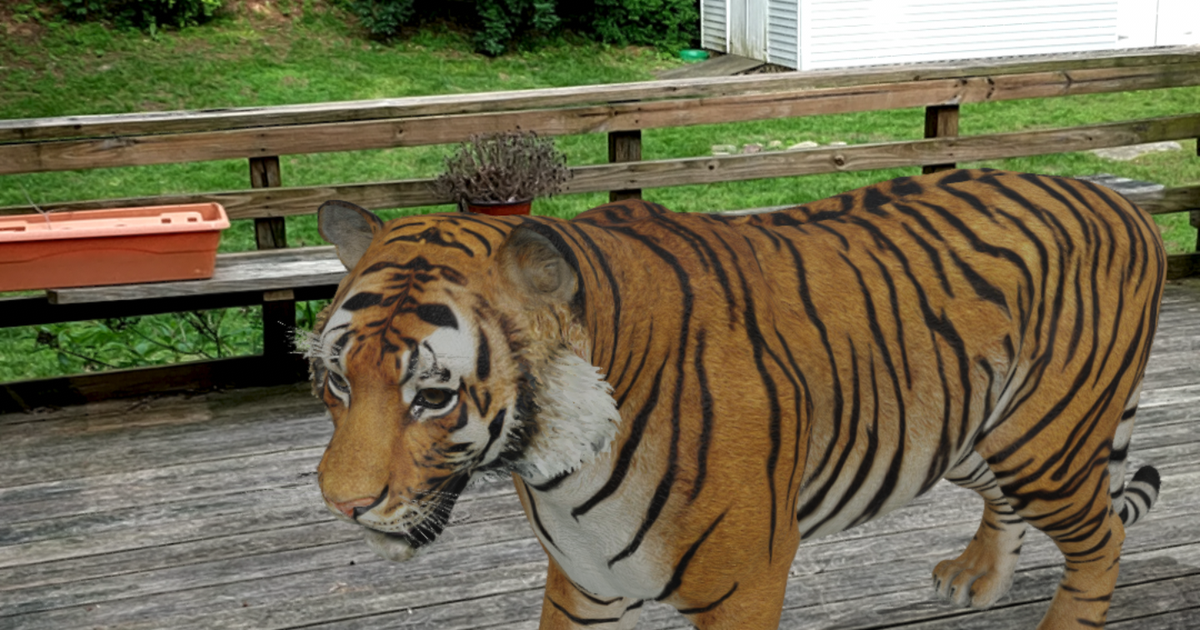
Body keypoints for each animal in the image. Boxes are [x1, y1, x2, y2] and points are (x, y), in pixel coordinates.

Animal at [308, 168, 1165, 629]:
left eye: (433, 396)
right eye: (338, 380)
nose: (342, 506)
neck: (556, 467)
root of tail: (1122, 201)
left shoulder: (745, 583)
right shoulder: (585, 580)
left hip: (1046, 439)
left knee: (1102, 541)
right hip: (972, 430)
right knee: (1012, 503)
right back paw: (978, 576)